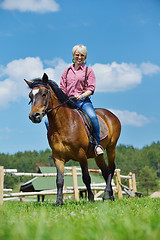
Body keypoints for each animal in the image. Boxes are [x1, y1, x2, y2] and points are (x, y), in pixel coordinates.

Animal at [25, 72, 120, 204]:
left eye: (44, 94)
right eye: (30, 96)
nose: (34, 116)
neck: (63, 125)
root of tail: (110, 114)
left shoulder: (82, 155)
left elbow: (86, 177)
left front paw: (91, 198)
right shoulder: (58, 158)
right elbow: (59, 180)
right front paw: (58, 202)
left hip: (111, 147)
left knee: (111, 169)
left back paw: (106, 195)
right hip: (98, 156)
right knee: (105, 171)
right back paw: (109, 196)